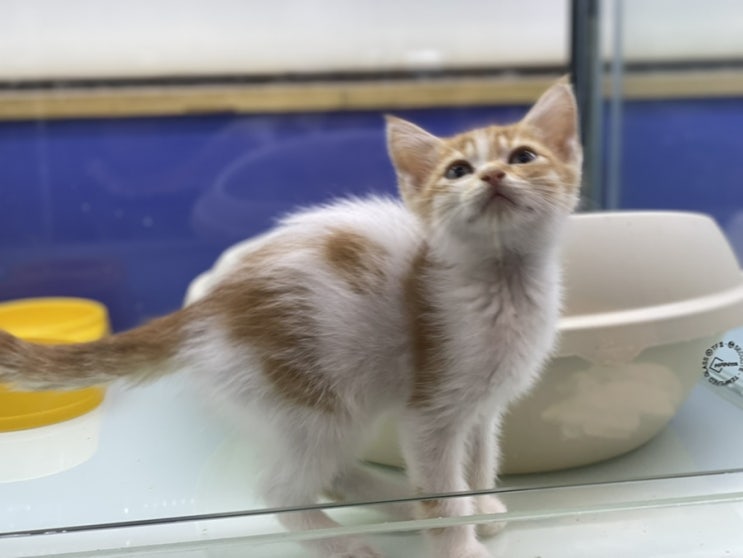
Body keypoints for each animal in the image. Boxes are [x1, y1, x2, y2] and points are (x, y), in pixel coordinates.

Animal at [0, 77, 581, 558]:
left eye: (524, 156)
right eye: (457, 170)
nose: (493, 173)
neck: (502, 288)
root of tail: (207, 307)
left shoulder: (482, 408)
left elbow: (479, 462)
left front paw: (483, 510)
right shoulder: (430, 412)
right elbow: (443, 490)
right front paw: (458, 543)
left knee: (334, 474)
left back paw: (399, 504)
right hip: (315, 400)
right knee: (282, 492)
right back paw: (347, 543)